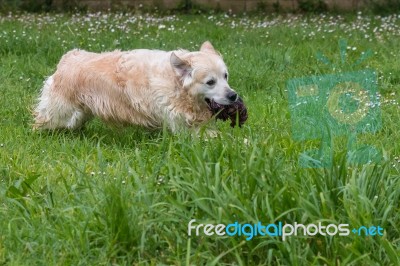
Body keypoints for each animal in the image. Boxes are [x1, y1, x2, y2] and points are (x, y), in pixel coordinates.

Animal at [33, 41, 238, 132]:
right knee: (42, 121)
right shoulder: (182, 124)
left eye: (225, 76)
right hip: (60, 112)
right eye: (210, 82)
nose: (233, 96)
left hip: (79, 113)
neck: (176, 83)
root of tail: (68, 57)